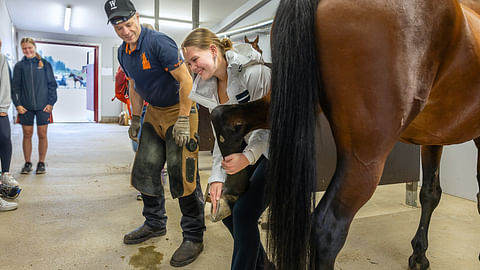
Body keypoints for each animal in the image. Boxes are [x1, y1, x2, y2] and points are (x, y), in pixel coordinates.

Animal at [213, 0, 480, 268]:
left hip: (282, 103)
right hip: (365, 157)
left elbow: (430, 193)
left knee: (224, 116)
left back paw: (231, 191)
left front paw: (418, 254)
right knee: (327, 229)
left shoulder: (432, 138)